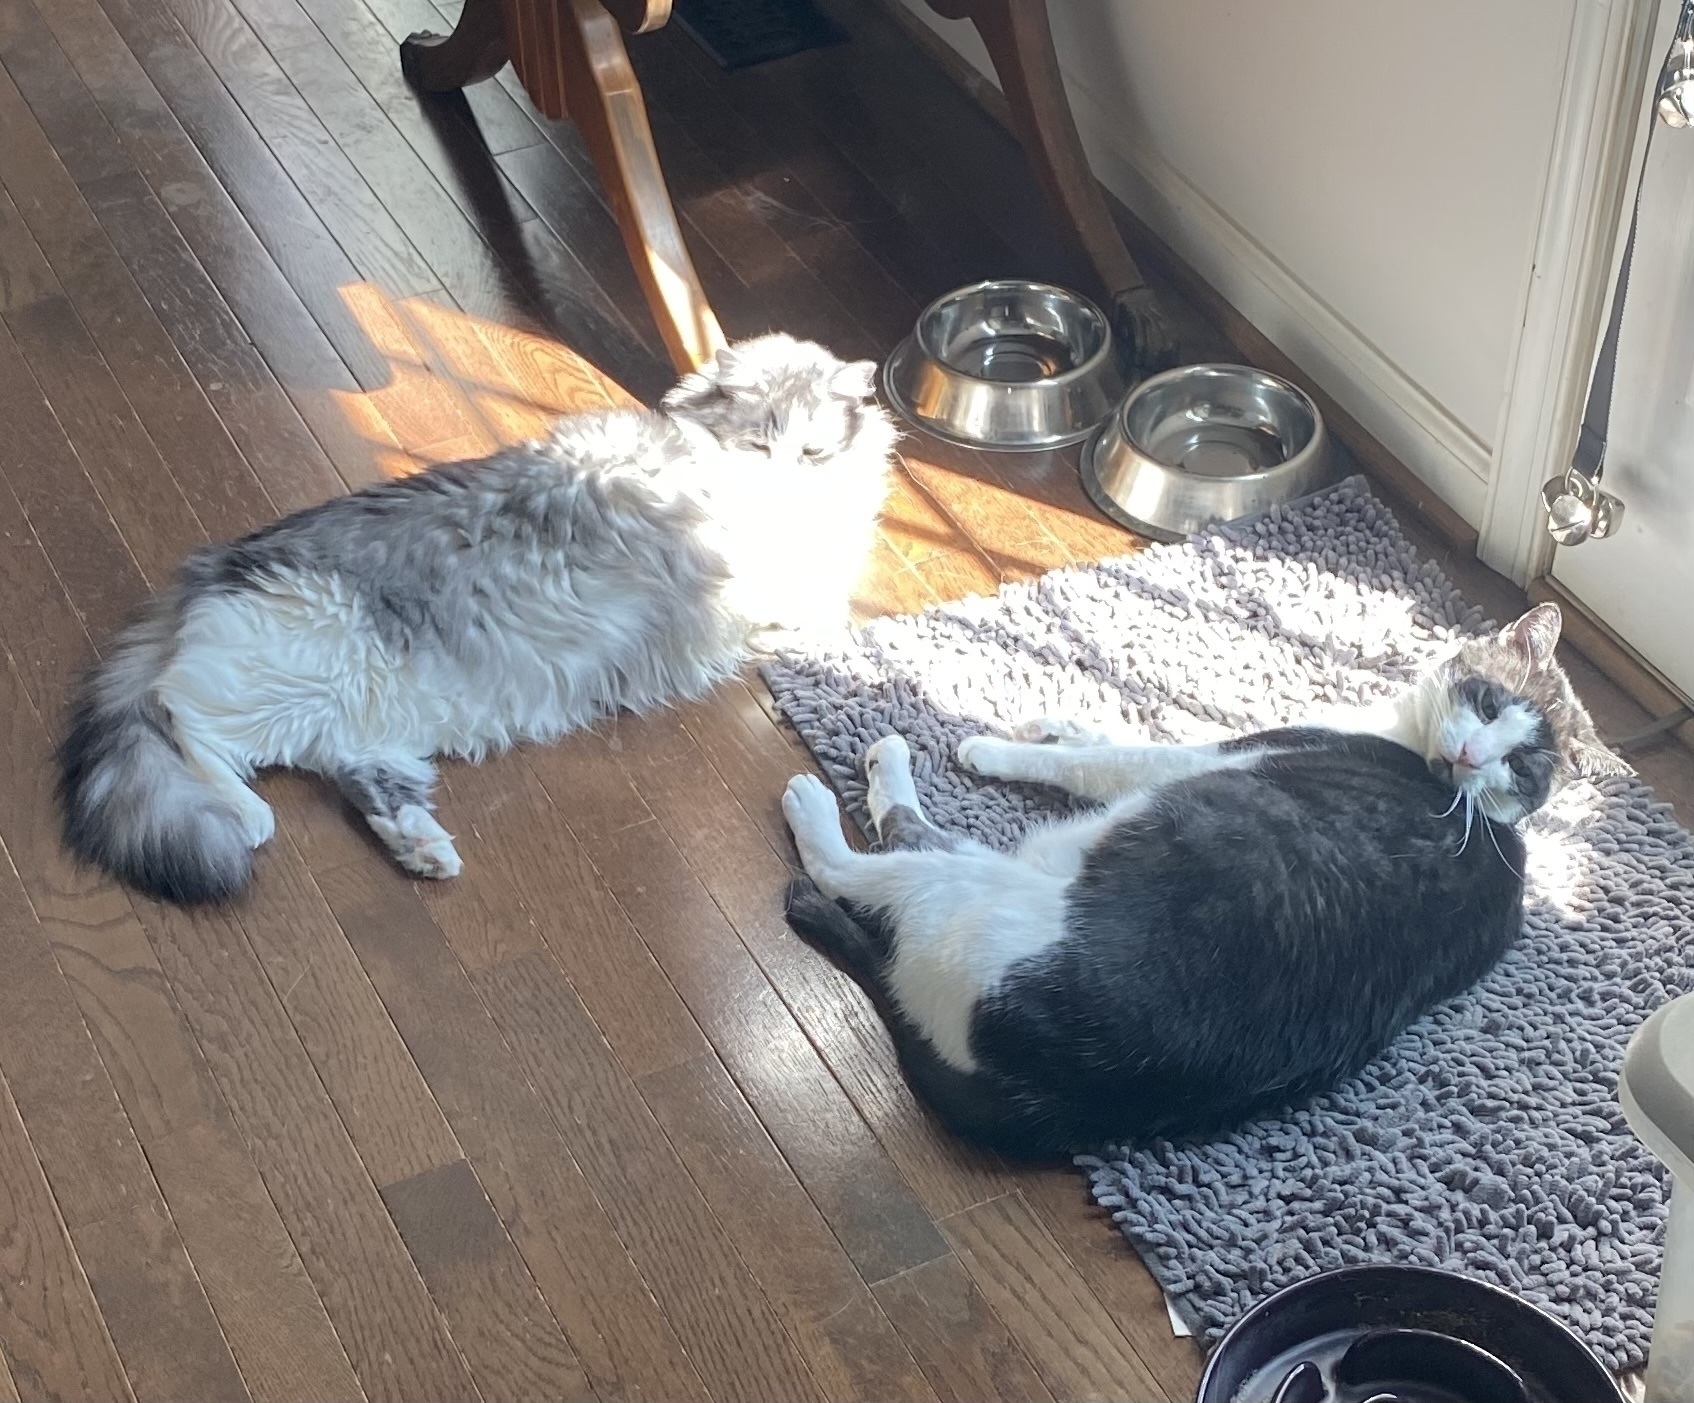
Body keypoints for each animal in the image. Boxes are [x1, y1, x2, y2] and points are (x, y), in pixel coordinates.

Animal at [58, 333, 894, 901]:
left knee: (355, 775)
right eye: (760, 442)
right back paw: (247, 815)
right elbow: (827, 620)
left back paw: (423, 848)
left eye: (813, 452)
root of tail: (208, 566)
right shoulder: (754, 582)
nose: (787, 480)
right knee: (181, 719)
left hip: (352, 712)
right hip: (294, 668)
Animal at [779, 606, 1626, 1159]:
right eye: (1486, 702)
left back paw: (840, 791)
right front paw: (1057, 718)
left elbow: (1115, 757)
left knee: (870, 858)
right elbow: (1122, 731)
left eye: (1523, 763)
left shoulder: (1210, 757)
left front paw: (997, 747)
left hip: (979, 894)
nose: (1474, 758)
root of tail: (1056, 1095)